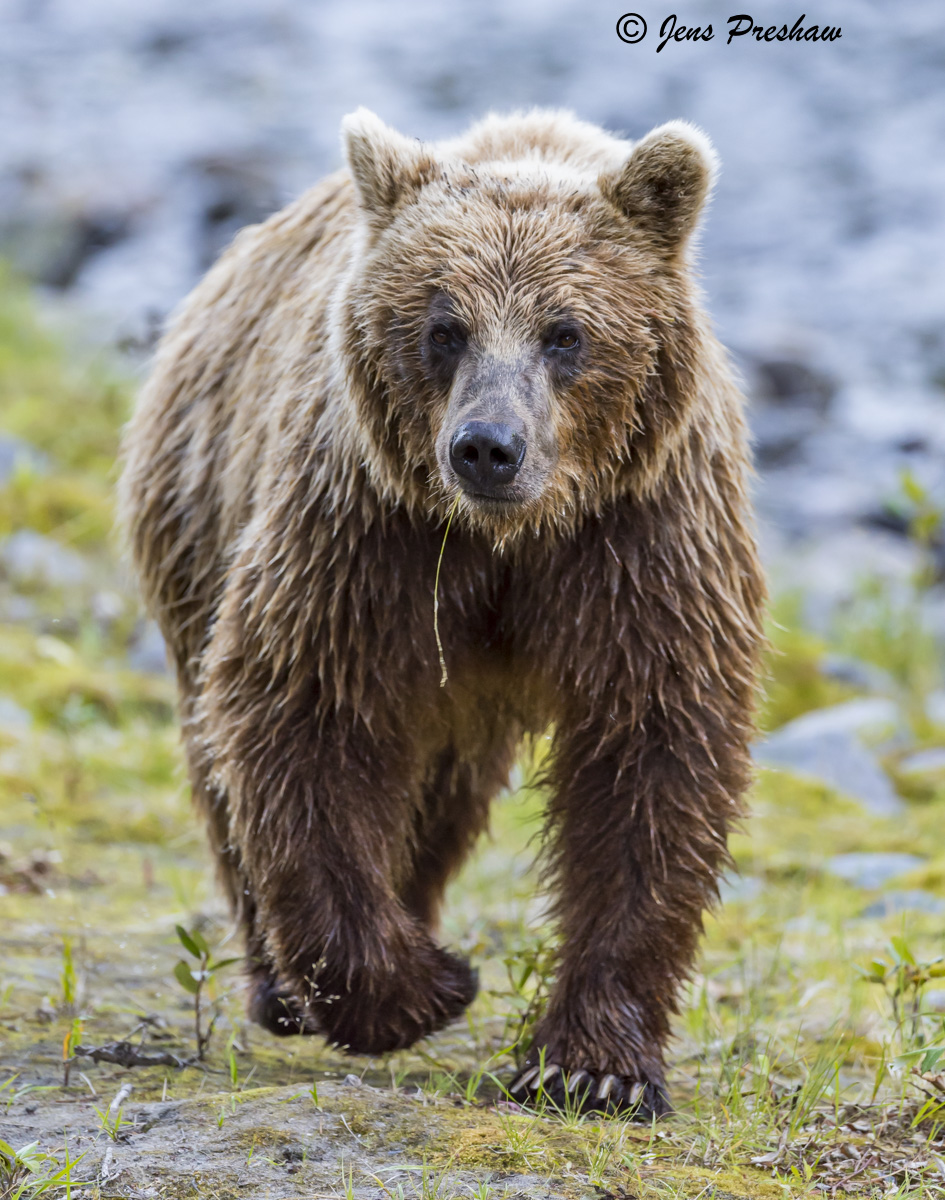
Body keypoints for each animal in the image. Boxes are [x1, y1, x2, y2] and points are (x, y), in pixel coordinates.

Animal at [119, 108, 767, 1118]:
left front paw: (593, 1067)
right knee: (223, 758)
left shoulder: (641, 543)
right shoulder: (369, 535)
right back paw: (280, 983)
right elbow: (304, 718)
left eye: (564, 332)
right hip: (201, 516)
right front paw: (422, 986)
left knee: (442, 790)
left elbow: (651, 756)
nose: (487, 447)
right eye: (443, 327)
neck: (512, 540)